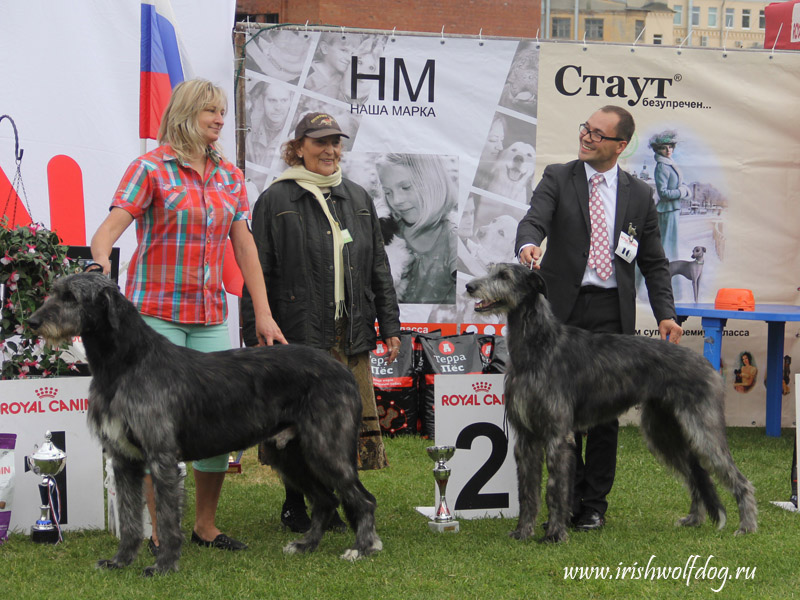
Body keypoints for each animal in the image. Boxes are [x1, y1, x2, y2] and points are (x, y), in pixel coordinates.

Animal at [29, 274, 382, 576]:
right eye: (55, 290)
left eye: (71, 297)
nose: (33, 322)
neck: (127, 362)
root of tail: (343, 370)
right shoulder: (124, 458)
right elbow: (130, 519)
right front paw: (120, 561)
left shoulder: (161, 456)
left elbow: (167, 519)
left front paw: (164, 566)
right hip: (288, 454)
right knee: (326, 500)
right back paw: (306, 545)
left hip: (326, 447)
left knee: (362, 499)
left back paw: (361, 548)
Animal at [462, 262, 756, 544]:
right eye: (490, 270)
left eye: (504, 275)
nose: (469, 286)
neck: (538, 345)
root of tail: (708, 365)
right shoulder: (526, 437)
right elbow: (527, 490)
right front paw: (523, 532)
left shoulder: (557, 435)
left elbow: (554, 489)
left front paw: (555, 534)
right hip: (663, 431)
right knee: (694, 474)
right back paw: (694, 519)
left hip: (702, 428)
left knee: (737, 477)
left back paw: (747, 526)